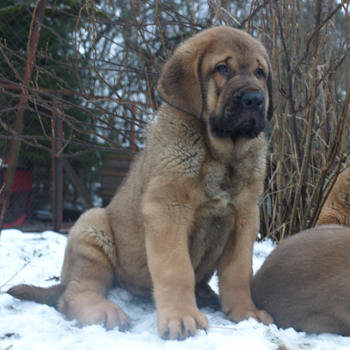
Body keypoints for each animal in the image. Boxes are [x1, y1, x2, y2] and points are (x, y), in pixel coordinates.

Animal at [8, 26, 274, 340]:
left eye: (259, 72)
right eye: (222, 68)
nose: (255, 100)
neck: (222, 154)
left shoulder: (244, 216)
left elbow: (239, 271)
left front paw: (246, 313)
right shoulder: (167, 210)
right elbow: (176, 269)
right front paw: (181, 317)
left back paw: (205, 294)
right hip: (92, 229)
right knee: (74, 294)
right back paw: (105, 312)